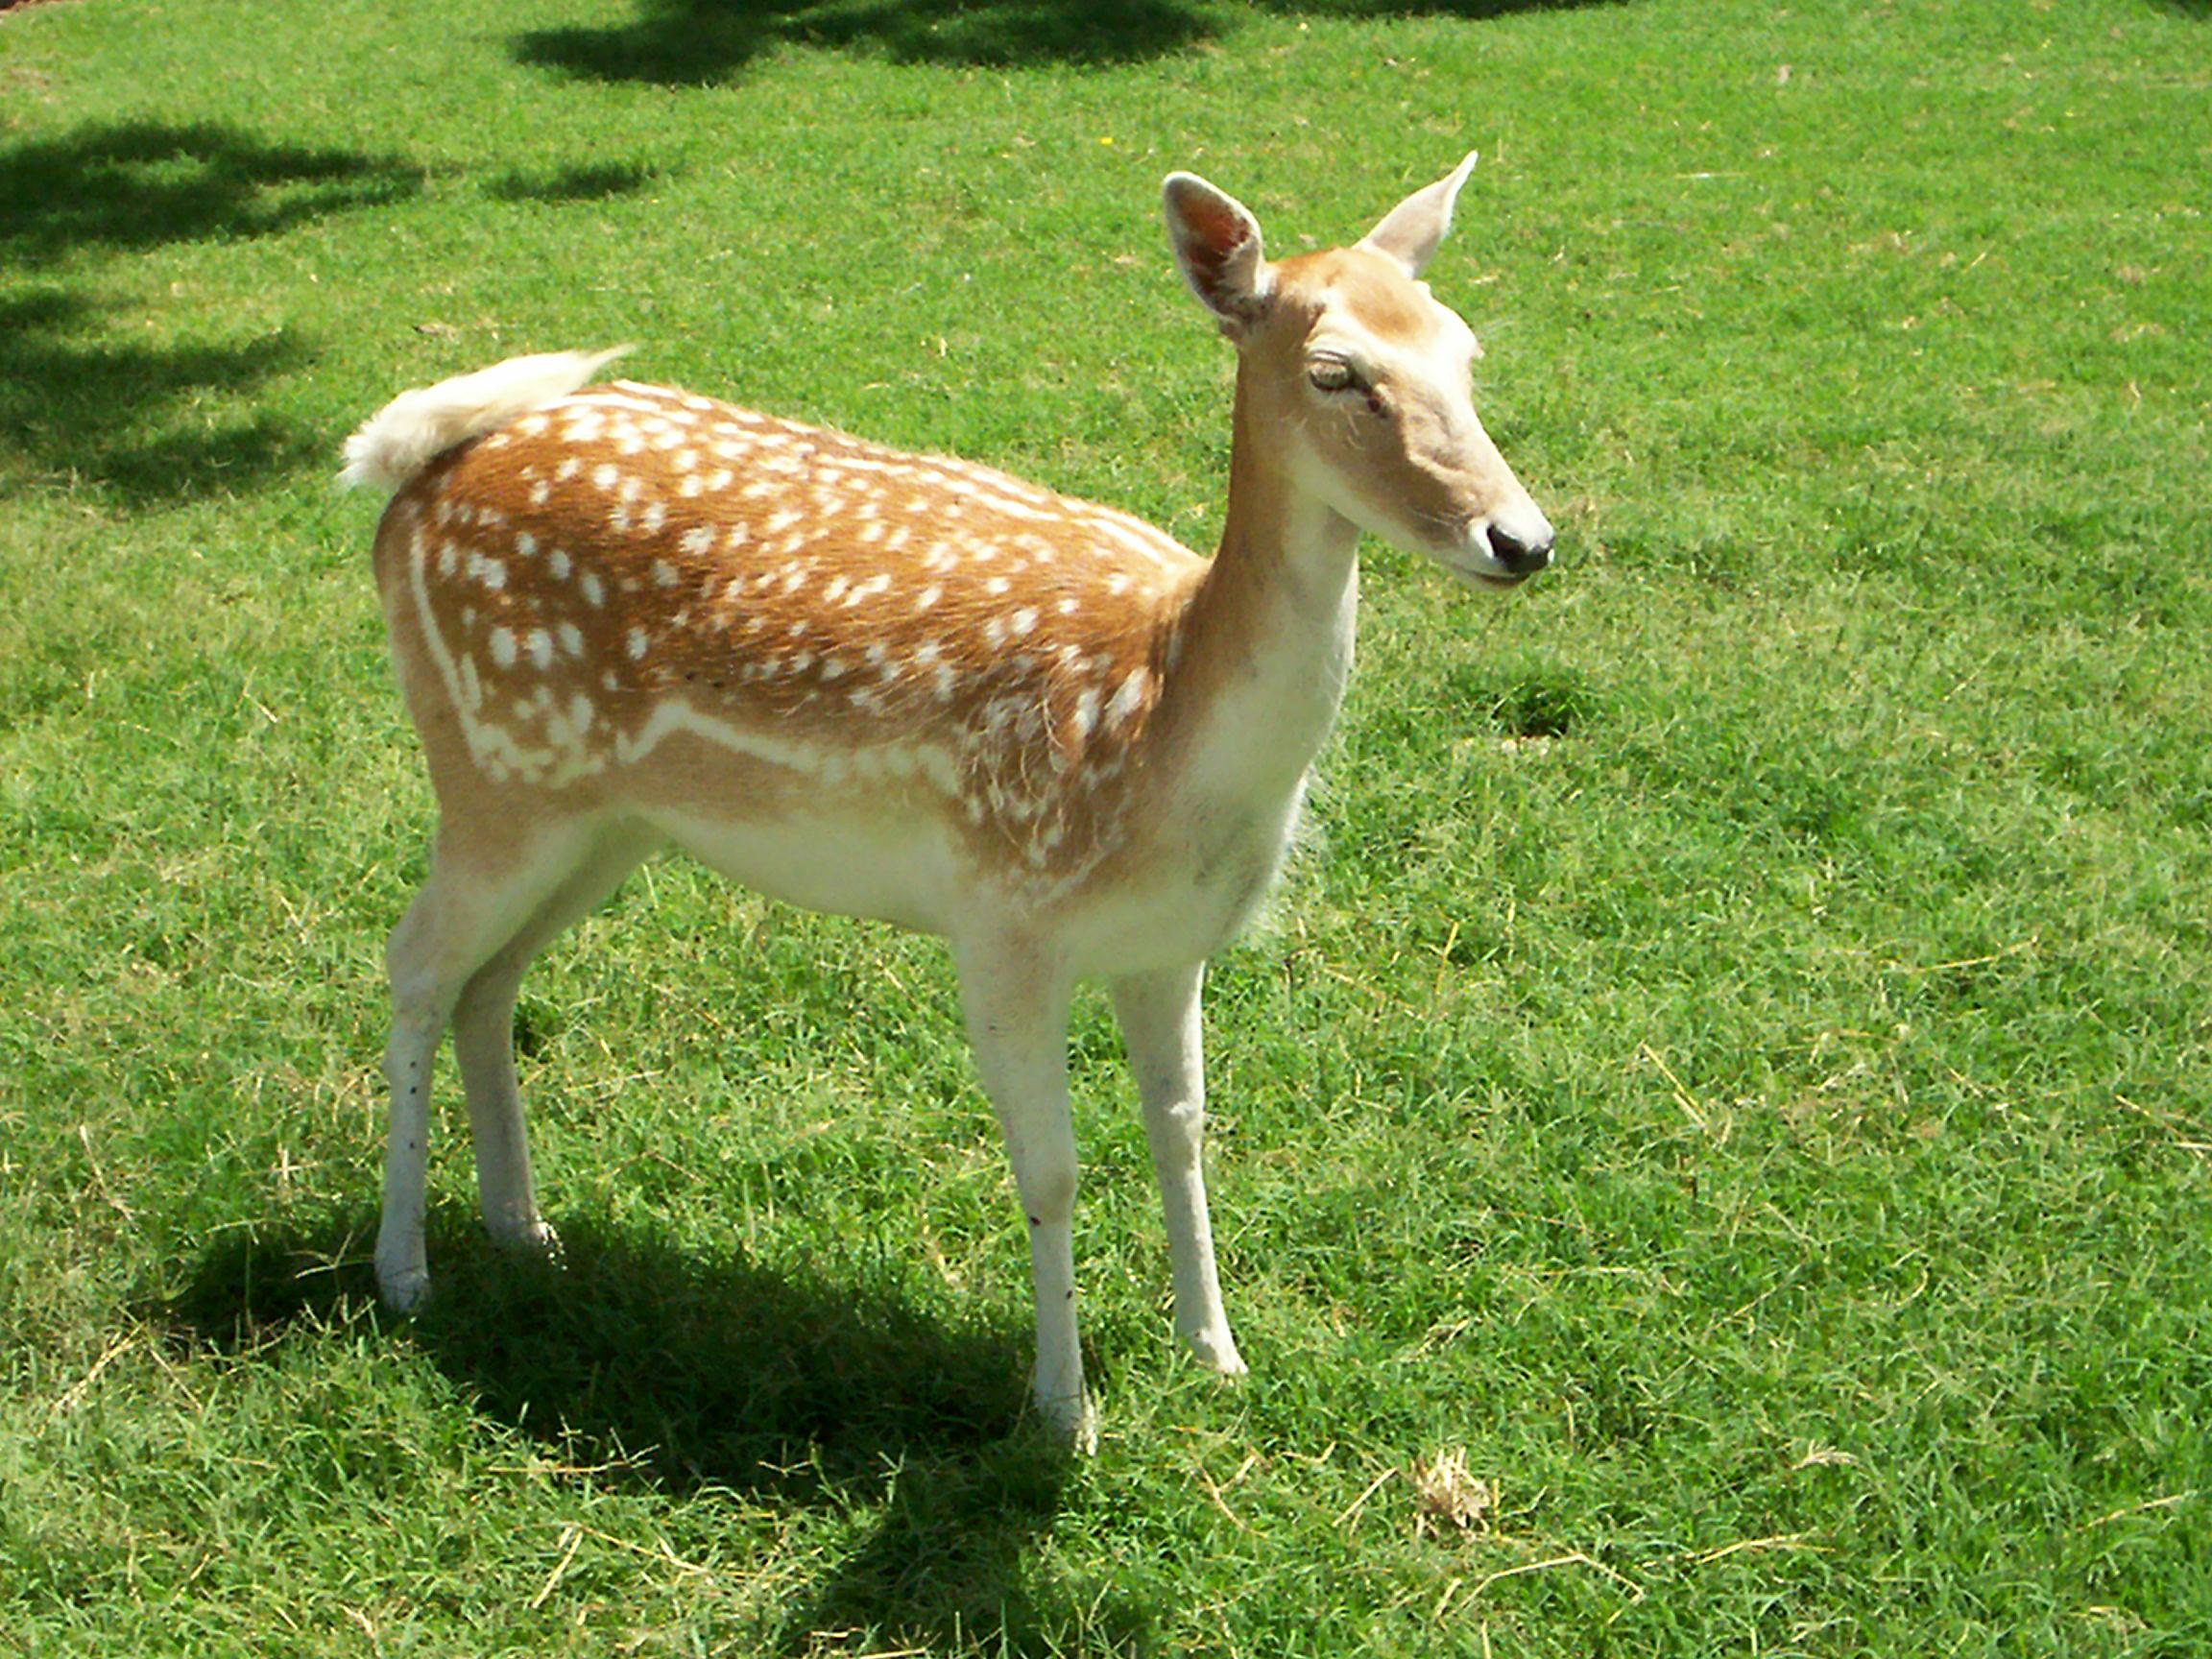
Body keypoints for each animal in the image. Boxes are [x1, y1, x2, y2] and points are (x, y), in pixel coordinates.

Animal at [340, 155, 1553, 1451]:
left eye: (1464, 349)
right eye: (1336, 372)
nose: (1523, 539)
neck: (1159, 724)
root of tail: (400, 484)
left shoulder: (1169, 943)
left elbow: (1183, 1129)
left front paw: (1216, 1354)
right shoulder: (1002, 919)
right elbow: (1053, 1170)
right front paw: (1062, 1414)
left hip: (603, 821)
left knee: (491, 984)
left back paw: (525, 1231)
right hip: (489, 776)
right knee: (414, 964)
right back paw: (405, 1273)